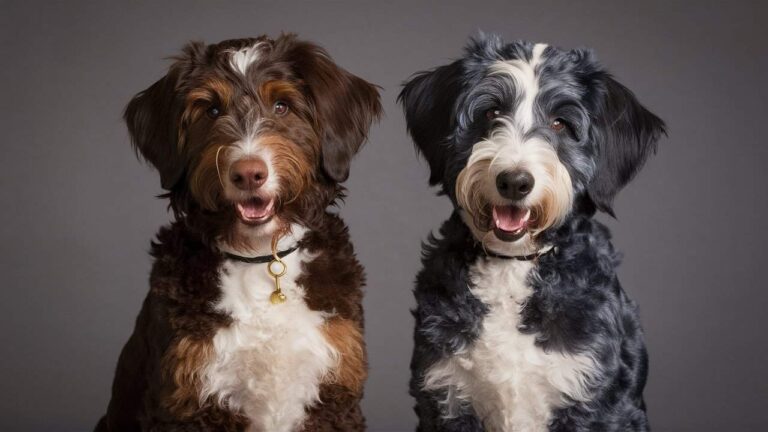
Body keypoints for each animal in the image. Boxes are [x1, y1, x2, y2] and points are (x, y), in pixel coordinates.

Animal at [96, 34, 380, 432]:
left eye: (281, 105)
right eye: (211, 111)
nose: (248, 173)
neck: (259, 258)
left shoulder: (335, 394)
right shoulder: (191, 402)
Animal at [402, 34, 664, 432]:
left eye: (560, 124)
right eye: (491, 113)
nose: (514, 181)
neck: (513, 266)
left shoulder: (591, 398)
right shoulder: (446, 396)